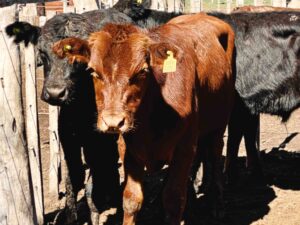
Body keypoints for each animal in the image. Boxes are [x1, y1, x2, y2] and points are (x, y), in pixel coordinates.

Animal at [52, 13, 236, 223]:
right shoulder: (128, 150)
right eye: (92, 71)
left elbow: (174, 199)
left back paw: (218, 204)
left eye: (142, 71)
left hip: (220, 123)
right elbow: (131, 200)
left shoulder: (185, 148)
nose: (113, 122)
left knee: (215, 155)